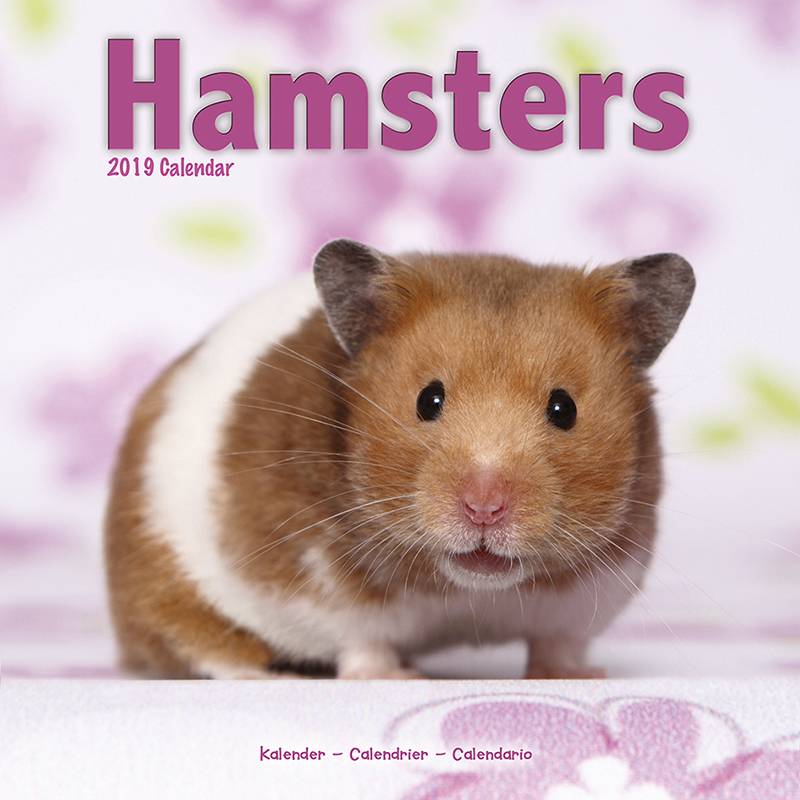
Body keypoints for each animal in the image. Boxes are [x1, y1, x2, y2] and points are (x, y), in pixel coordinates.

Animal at [104, 240, 695, 679]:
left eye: (564, 408)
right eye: (427, 400)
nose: (484, 509)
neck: (464, 590)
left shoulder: (593, 591)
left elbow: (557, 646)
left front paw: (579, 677)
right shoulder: (319, 583)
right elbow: (363, 642)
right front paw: (397, 677)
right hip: (164, 589)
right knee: (202, 646)